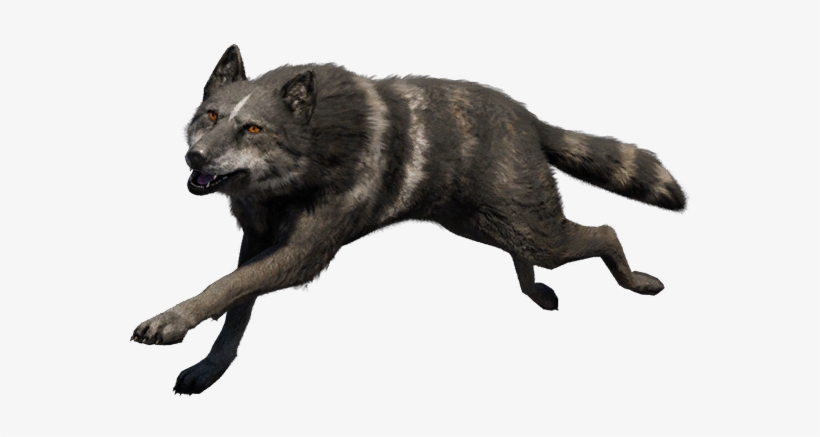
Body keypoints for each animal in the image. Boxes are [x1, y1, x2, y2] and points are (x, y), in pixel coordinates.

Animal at [132, 45, 686, 394]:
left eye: (252, 128)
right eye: (209, 117)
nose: (196, 158)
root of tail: (525, 114)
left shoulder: (303, 252)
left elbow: (225, 287)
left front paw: (174, 319)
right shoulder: (258, 236)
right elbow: (237, 305)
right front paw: (212, 365)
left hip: (531, 226)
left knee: (602, 232)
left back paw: (633, 280)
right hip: (484, 222)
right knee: (522, 250)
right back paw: (533, 289)